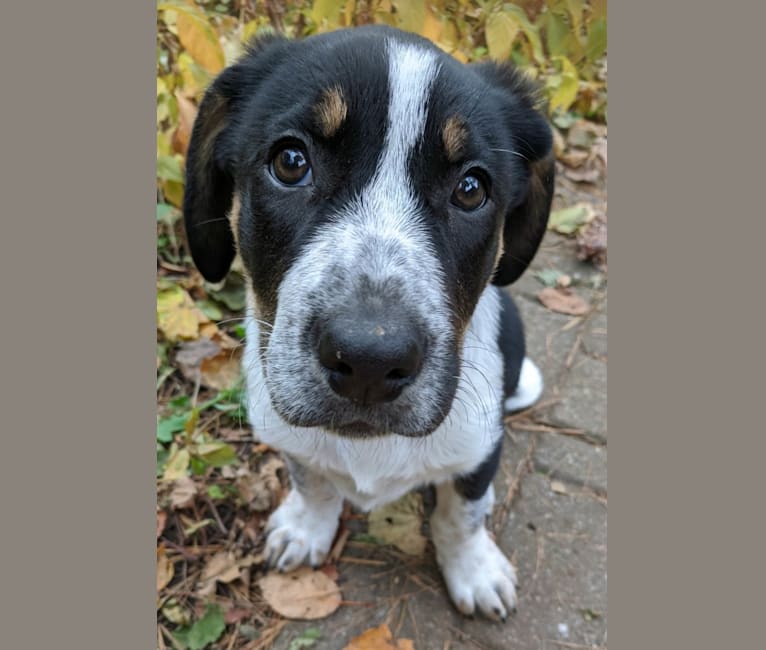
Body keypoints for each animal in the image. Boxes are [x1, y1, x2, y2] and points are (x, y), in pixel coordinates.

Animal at [186, 25, 560, 620]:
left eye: (472, 189)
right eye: (290, 162)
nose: (369, 360)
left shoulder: (479, 445)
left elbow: (462, 513)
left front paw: (474, 570)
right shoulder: (288, 433)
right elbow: (312, 481)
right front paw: (306, 527)